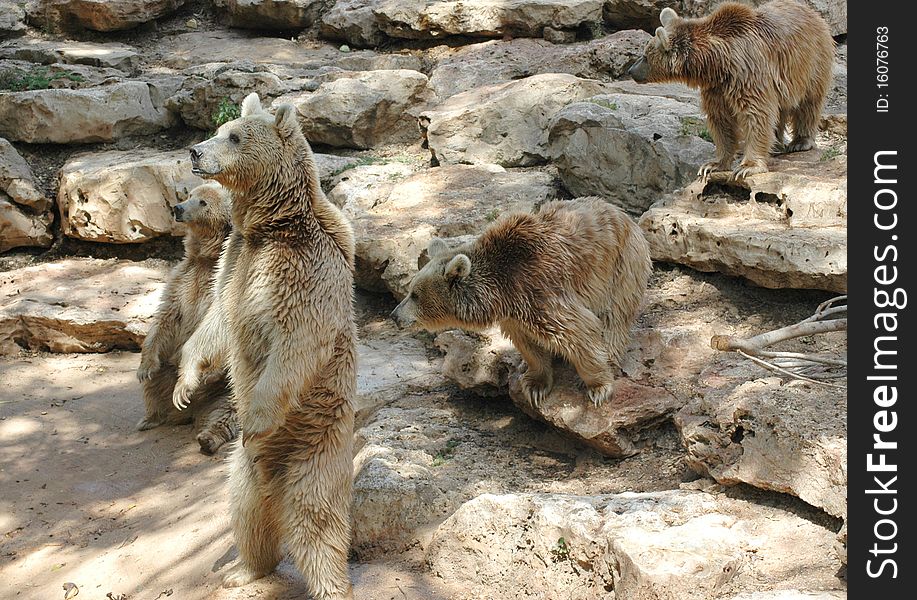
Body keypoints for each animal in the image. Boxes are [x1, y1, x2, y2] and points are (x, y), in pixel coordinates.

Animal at [172, 94, 358, 600]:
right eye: (221, 129)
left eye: (235, 136)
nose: (195, 150)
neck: (272, 224)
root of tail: (277, 476)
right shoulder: (237, 260)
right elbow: (216, 321)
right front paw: (184, 384)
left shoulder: (302, 268)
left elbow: (296, 342)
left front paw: (254, 418)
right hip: (244, 472)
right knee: (247, 510)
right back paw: (242, 568)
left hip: (318, 446)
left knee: (317, 522)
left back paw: (331, 585)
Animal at [392, 198, 652, 408]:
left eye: (415, 294)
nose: (394, 315)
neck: (501, 292)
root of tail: (621, 213)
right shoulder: (515, 314)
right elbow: (528, 344)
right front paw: (536, 386)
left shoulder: (539, 291)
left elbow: (578, 332)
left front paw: (598, 387)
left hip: (621, 264)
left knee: (615, 315)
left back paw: (611, 353)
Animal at [628, 0, 832, 178]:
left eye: (645, 56)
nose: (631, 70)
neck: (716, 63)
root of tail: (811, 12)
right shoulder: (716, 88)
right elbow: (721, 120)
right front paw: (713, 164)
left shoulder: (747, 75)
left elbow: (756, 114)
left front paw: (747, 167)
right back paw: (775, 144)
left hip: (810, 62)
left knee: (808, 102)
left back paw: (800, 142)